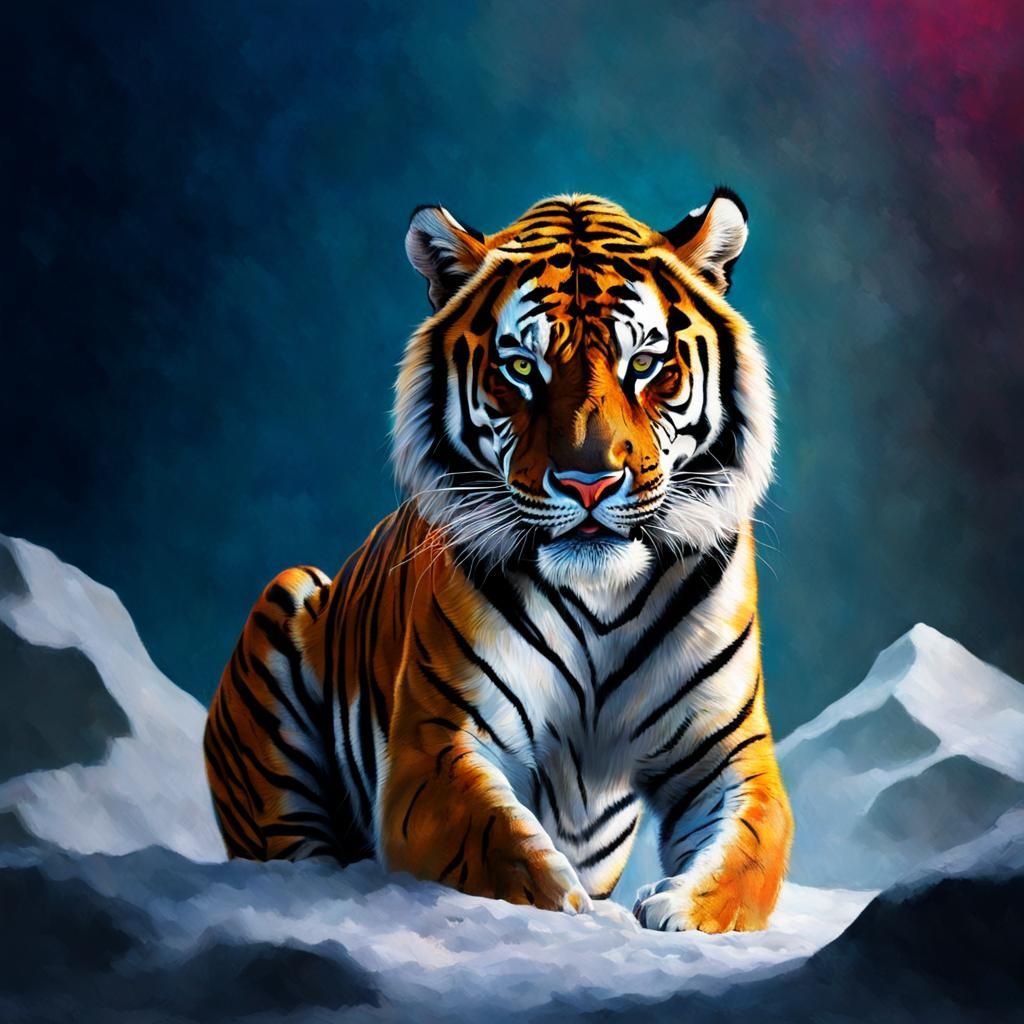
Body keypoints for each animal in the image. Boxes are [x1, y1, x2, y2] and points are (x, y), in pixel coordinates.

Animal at [203, 188, 793, 933]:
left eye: (644, 365)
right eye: (522, 368)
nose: (589, 482)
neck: (601, 597)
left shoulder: (731, 753)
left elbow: (751, 850)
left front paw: (680, 910)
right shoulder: (436, 750)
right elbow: (505, 851)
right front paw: (569, 908)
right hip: (287, 598)